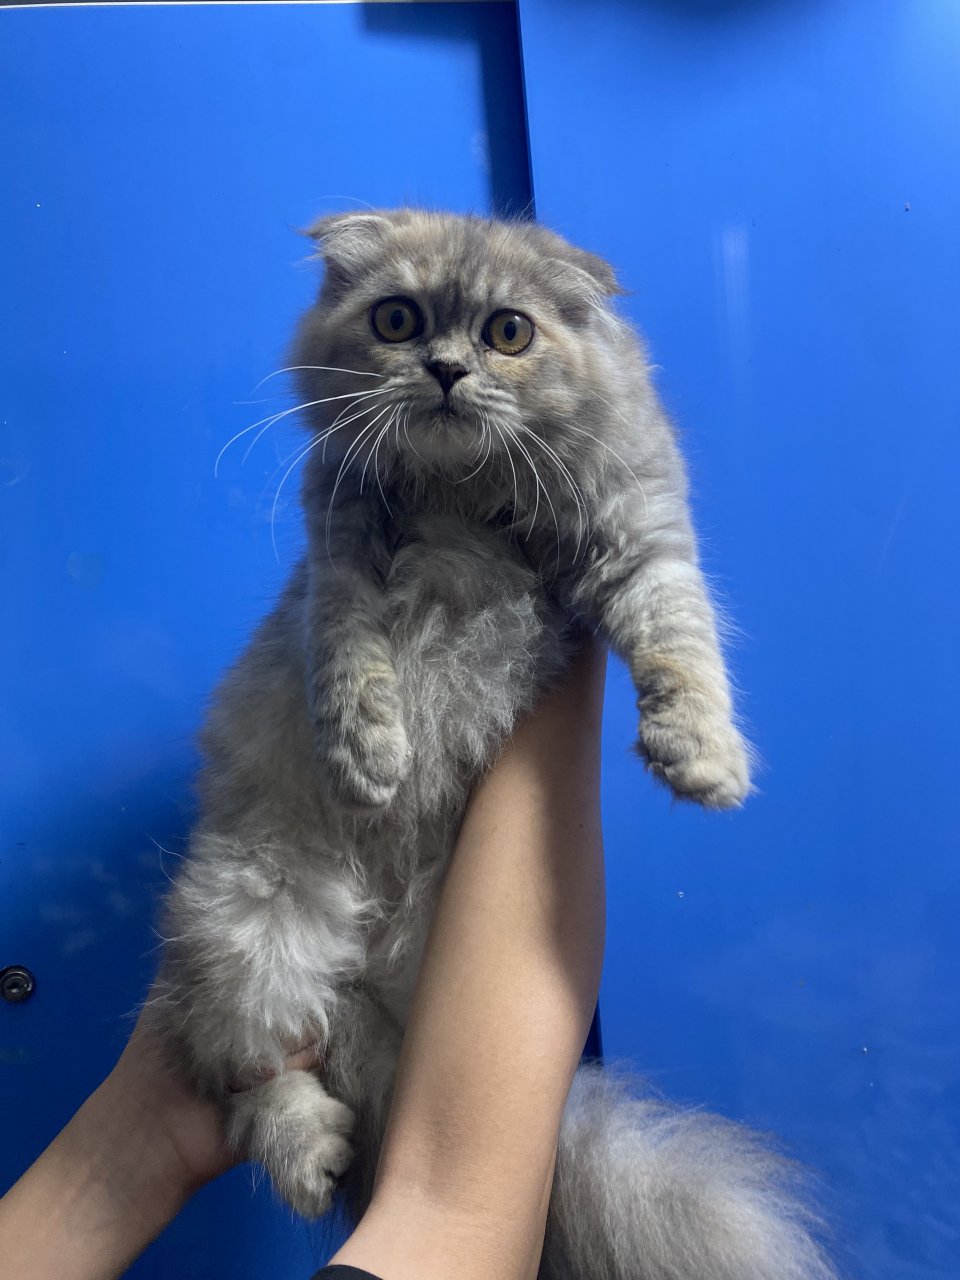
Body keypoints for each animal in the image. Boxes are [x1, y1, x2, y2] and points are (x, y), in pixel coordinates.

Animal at [151, 210, 833, 1279]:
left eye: (508, 333)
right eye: (395, 320)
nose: (443, 370)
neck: (462, 493)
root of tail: (379, 966)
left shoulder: (641, 542)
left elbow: (682, 644)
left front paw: (703, 760)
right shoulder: (337, 555)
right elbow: (349, 661)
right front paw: (369, 764)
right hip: (247, 933)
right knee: (251, 1082)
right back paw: (310, 1154)